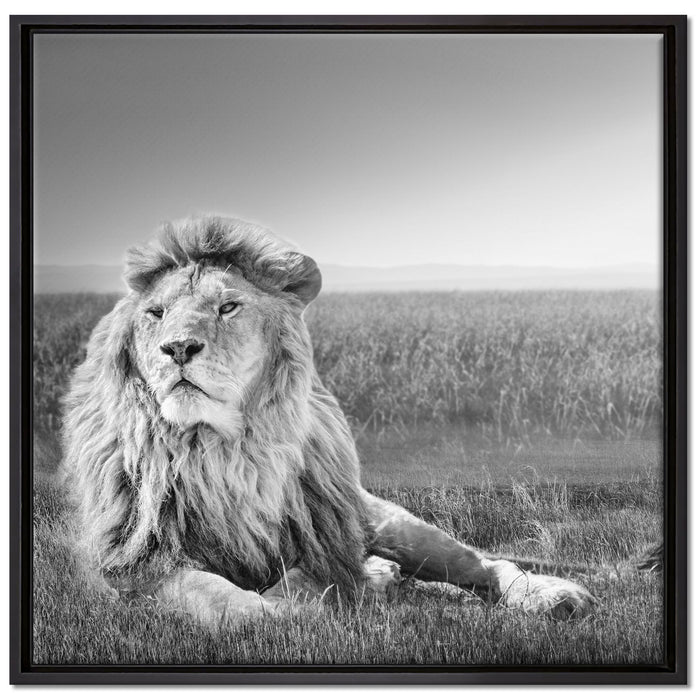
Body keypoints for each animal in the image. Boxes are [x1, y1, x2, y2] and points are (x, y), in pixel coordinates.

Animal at [62, 215, 596, 627]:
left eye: (228, 306)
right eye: (156, 313)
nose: (176, 348)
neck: (220, 449)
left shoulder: (322, 538)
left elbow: (307, 580)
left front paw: (331, 593)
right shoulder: (136, 564)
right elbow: (224, 601)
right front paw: (293, 608)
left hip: (390, 524)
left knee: (483, 563)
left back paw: (553, 596)